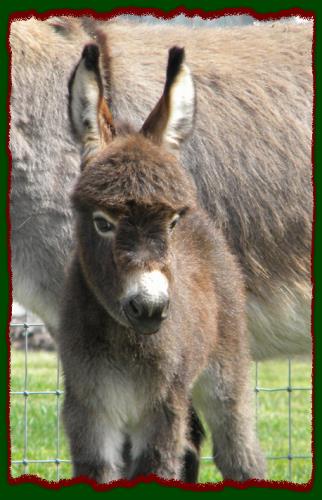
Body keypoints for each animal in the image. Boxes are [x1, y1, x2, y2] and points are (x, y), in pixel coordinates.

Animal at [57, 44, 264, 484]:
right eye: (102, 222)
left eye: (170, 223)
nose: (150, 308)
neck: (125, 343)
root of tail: (204, 217)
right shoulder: (89, 411)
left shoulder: (163, 407)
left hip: (224, 371)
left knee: (239, 450)